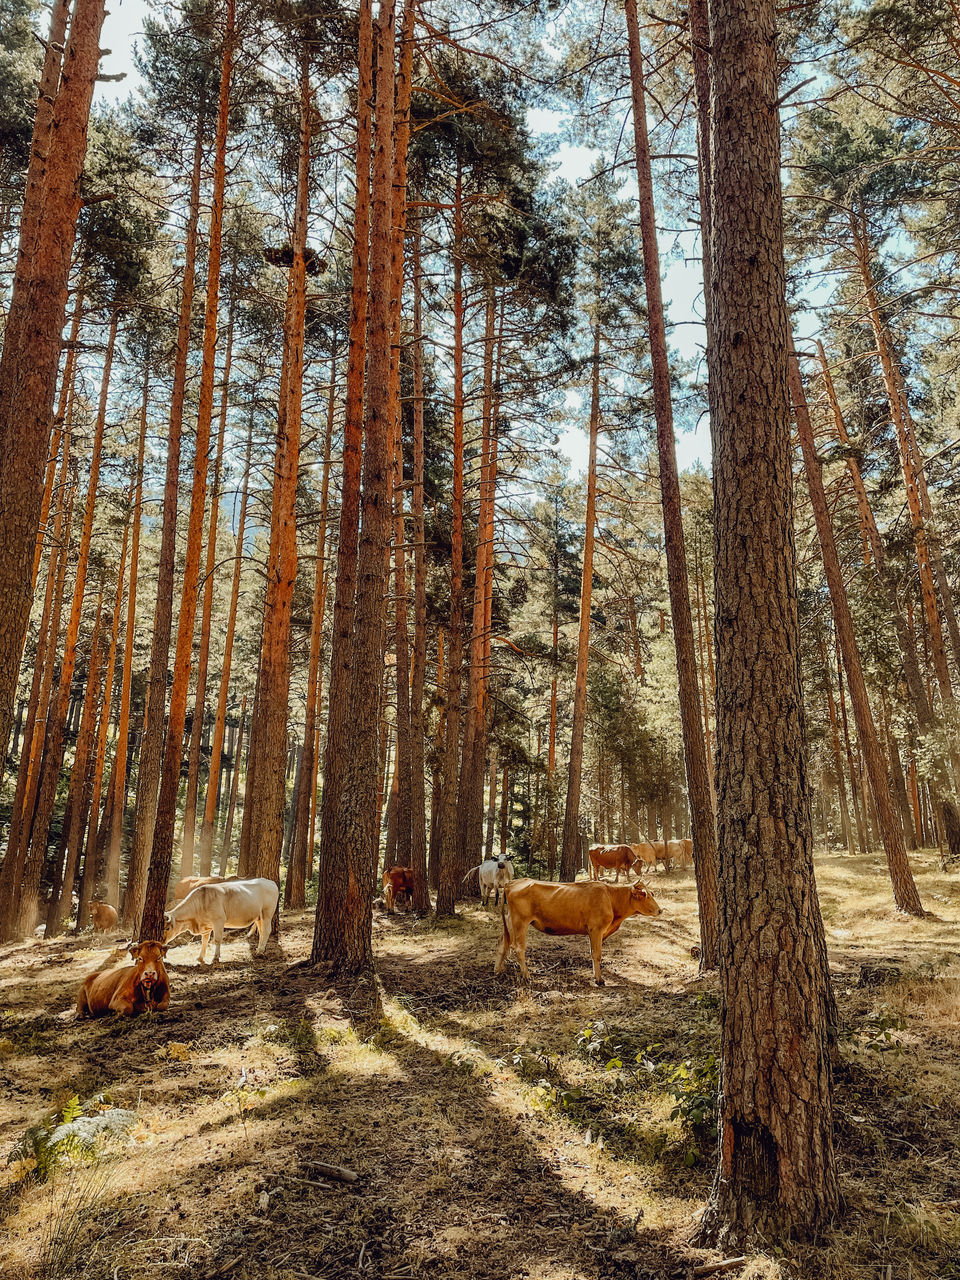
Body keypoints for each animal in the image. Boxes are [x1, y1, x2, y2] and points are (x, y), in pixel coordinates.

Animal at [496, 880, 660, 988]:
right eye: (644, 894)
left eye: (652, 893)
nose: (660, 910)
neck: (611, 898)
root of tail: (511, 883)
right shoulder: (596, 929)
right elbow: (596, 954)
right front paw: (599, 980)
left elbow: (593, 953)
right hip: (520, 922)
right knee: (518, 949)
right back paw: (526, 976)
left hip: (510, 922)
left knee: (503, 944)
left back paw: (498, 970)